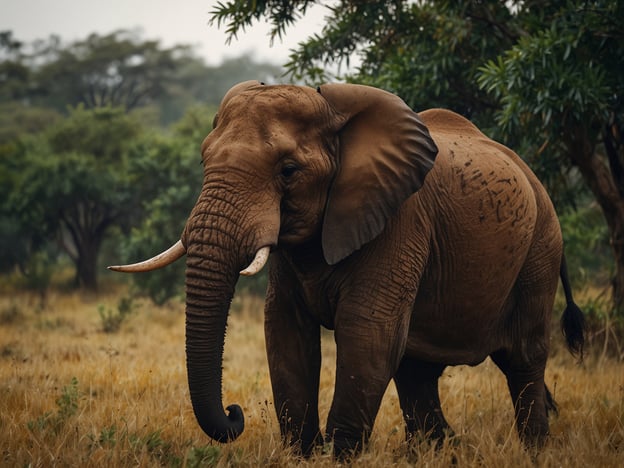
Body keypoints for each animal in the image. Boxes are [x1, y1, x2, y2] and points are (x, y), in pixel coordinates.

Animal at [108, 80, 584, 458]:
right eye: (205, 162)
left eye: (288, 171)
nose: (234, 411)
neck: (334, 114)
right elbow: (285, 330)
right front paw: (303, 454)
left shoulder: (401, 219)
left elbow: (367, 330)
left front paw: (337, 456)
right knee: (416, 368)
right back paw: (439, 452)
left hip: (541, 247)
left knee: (522, 357)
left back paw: (534, 451)